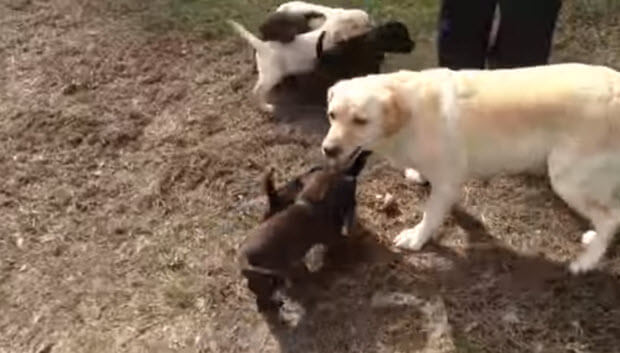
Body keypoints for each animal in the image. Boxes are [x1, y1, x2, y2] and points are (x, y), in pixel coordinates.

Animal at [320, 63, 620, 272]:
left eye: (360, 120)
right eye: (332, 115)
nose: (328, 149)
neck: (411, 112)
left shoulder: (446, 182)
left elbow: (430, 216)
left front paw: (416, 238)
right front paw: (417, 175)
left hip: (566, 179)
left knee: (610, 217)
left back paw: (586, 262)